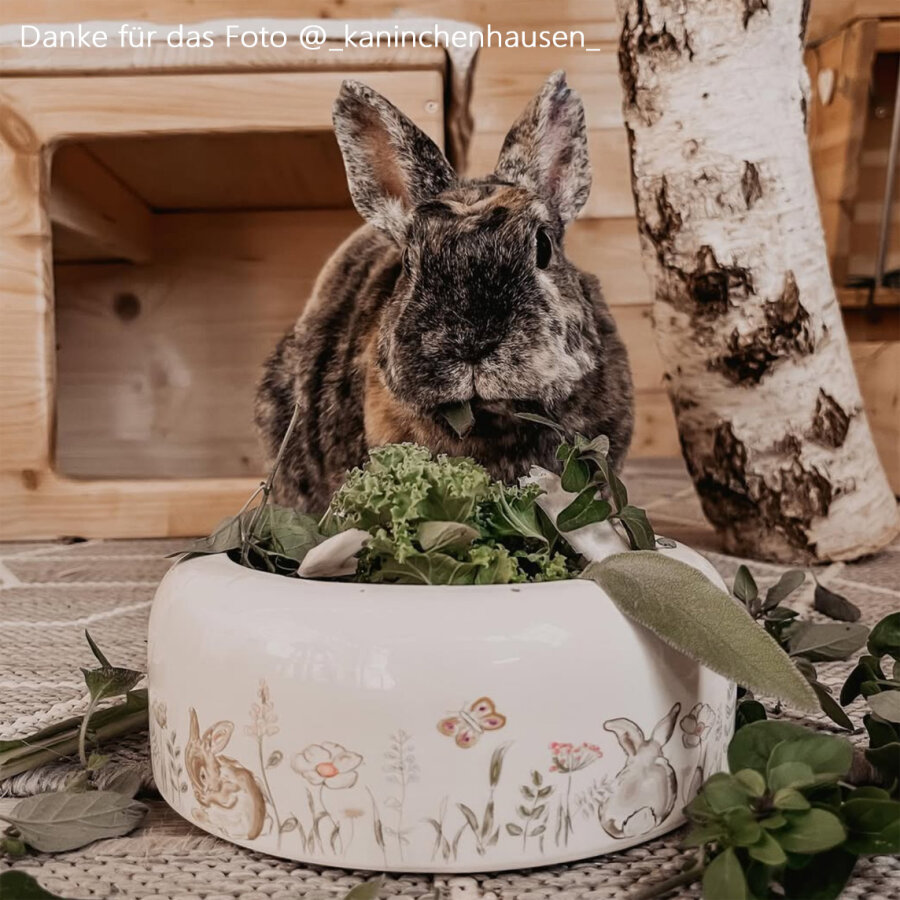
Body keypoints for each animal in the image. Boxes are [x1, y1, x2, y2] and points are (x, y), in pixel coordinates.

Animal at [185, 708, 266, 841]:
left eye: (203, 776)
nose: (198, 796)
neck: (218, 773)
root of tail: (250, 835)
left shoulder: (232, 787)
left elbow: (225, 797)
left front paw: (207, 798)